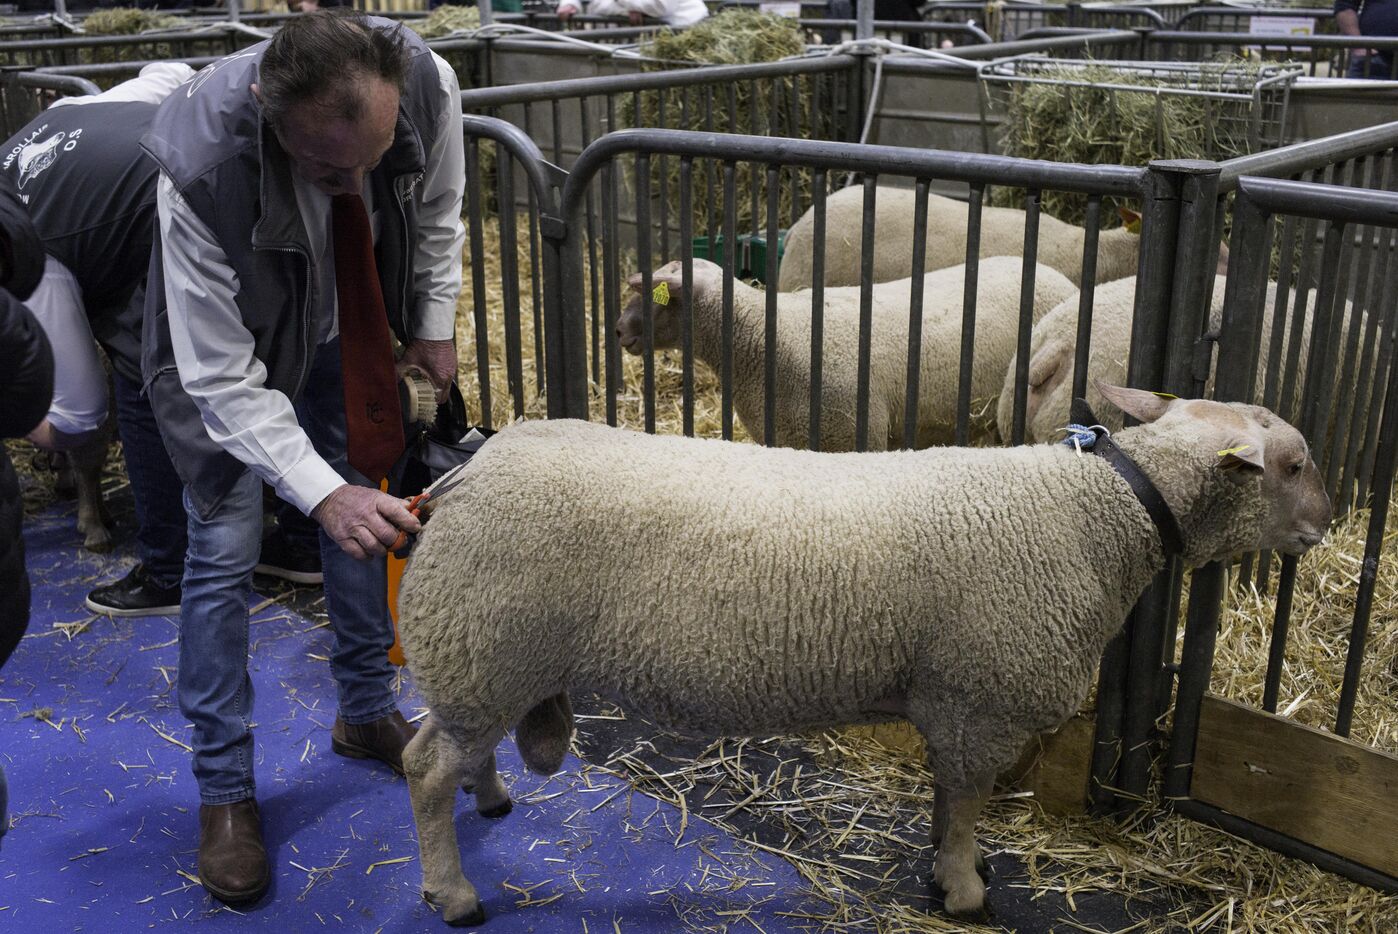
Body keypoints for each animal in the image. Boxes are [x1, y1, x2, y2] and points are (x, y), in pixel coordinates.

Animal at [396, 384, 1331, 925]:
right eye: (1293, 464)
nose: (1326, 526)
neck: (1105, 509)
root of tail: (468, 472)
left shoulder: (953, 701)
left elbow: (949, 800)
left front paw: (950, 867)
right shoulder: (980, 701)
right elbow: (966, 803)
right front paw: (964, 890)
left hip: (490, 658)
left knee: (455, 749)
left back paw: (490, 799)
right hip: (486, 643)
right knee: (423, 766)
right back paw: (453, 891)